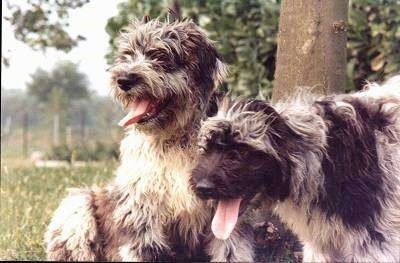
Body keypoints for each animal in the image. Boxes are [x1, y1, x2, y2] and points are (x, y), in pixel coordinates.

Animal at [43, 17, 255, 262]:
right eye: (127, 55)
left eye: (160, 55)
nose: (124, 79)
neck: (175, 140)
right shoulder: (141, 210)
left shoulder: (226, 209)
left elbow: (230, 250)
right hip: (78, 204)